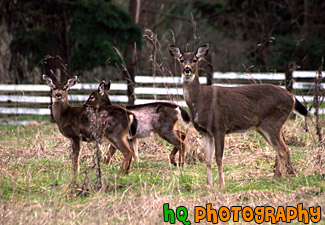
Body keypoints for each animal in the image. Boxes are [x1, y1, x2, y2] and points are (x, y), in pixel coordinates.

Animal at [168, 43, 308, 189]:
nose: (187, 69)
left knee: (282, 150)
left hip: (272, 123)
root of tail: (292, 97)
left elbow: (219, 158)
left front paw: (222, 186)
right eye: (181, 59)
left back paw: (276, 178)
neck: (200, 100)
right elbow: (208, 160)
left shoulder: (220, 127)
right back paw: (286, 175)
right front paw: (209, 186)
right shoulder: (205, 132)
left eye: (195, 59)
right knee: (284, 149)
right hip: (264, 127)